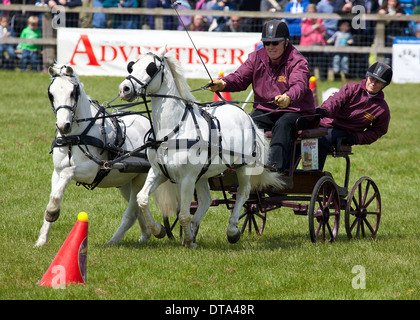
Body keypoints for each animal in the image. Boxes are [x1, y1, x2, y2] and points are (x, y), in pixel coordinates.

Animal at [34, 63, 176, 246]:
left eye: (73, 92)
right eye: (51, 94)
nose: (63, 126)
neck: (75, 137)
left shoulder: (90, 171)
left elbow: (68, 173)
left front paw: (52, 212)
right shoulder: (56, 173)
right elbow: (54, 194)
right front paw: (42, 239)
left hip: (140, 178)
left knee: (133, 211)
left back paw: (122, 239)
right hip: (124, 182)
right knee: (137, 208)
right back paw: (146, 235)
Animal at [116, 47, 284, 248]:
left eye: (151, 68)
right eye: (131, 66)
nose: (124, 89)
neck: (173, 130)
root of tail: (246, 116)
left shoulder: (187, 178)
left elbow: (183, 214)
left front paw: (189, 242)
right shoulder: (158, 172)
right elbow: (142, 199)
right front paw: (159, 230)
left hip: (243, 167)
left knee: (243, 193)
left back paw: (232, 231)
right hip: (203, 174)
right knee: (206, 200)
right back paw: (195, 228)